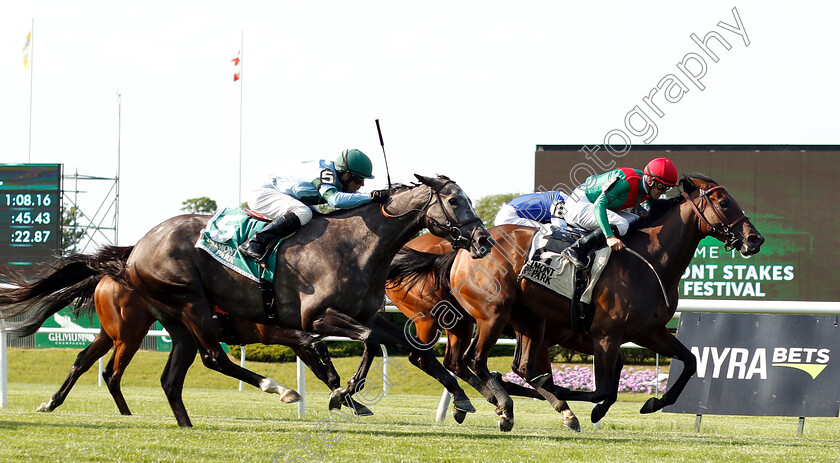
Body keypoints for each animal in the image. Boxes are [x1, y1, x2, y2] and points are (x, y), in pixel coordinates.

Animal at [3, 175, 492, 428]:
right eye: (454, 200)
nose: (483, 241)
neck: (358, 245)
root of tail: (133, 250)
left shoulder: (358, 316)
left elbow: (406, 347)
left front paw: (464, 400)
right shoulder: (314, 320)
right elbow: (365, 344)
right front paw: (346, 393)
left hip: (171, 322)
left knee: (157, 374)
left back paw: (181, 422)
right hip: (182, 307)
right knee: (209, 358)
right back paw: (279, 388)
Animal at [386, 175, 760, 432]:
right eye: (724, 202)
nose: (754, 239)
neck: (650, 260)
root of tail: (464, 249)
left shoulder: (650, 333)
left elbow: (691, 361)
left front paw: (654, 402)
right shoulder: (606, 336)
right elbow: (601, 390)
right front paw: (585, 407)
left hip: (524, 320)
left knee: (498, 364)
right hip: (491, 314)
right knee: (471, 361)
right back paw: (504, 402)